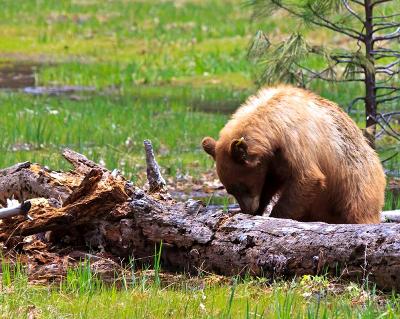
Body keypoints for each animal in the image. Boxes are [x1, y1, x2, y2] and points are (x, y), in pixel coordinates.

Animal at [202, 85, 386, 225]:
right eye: (230, 190)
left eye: (242, 186)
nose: (249, 210)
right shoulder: (272, 161)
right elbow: (271, 181)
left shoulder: (296, 141)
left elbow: (307, 178)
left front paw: (275, 216)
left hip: (355, 182)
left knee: (358, 207)